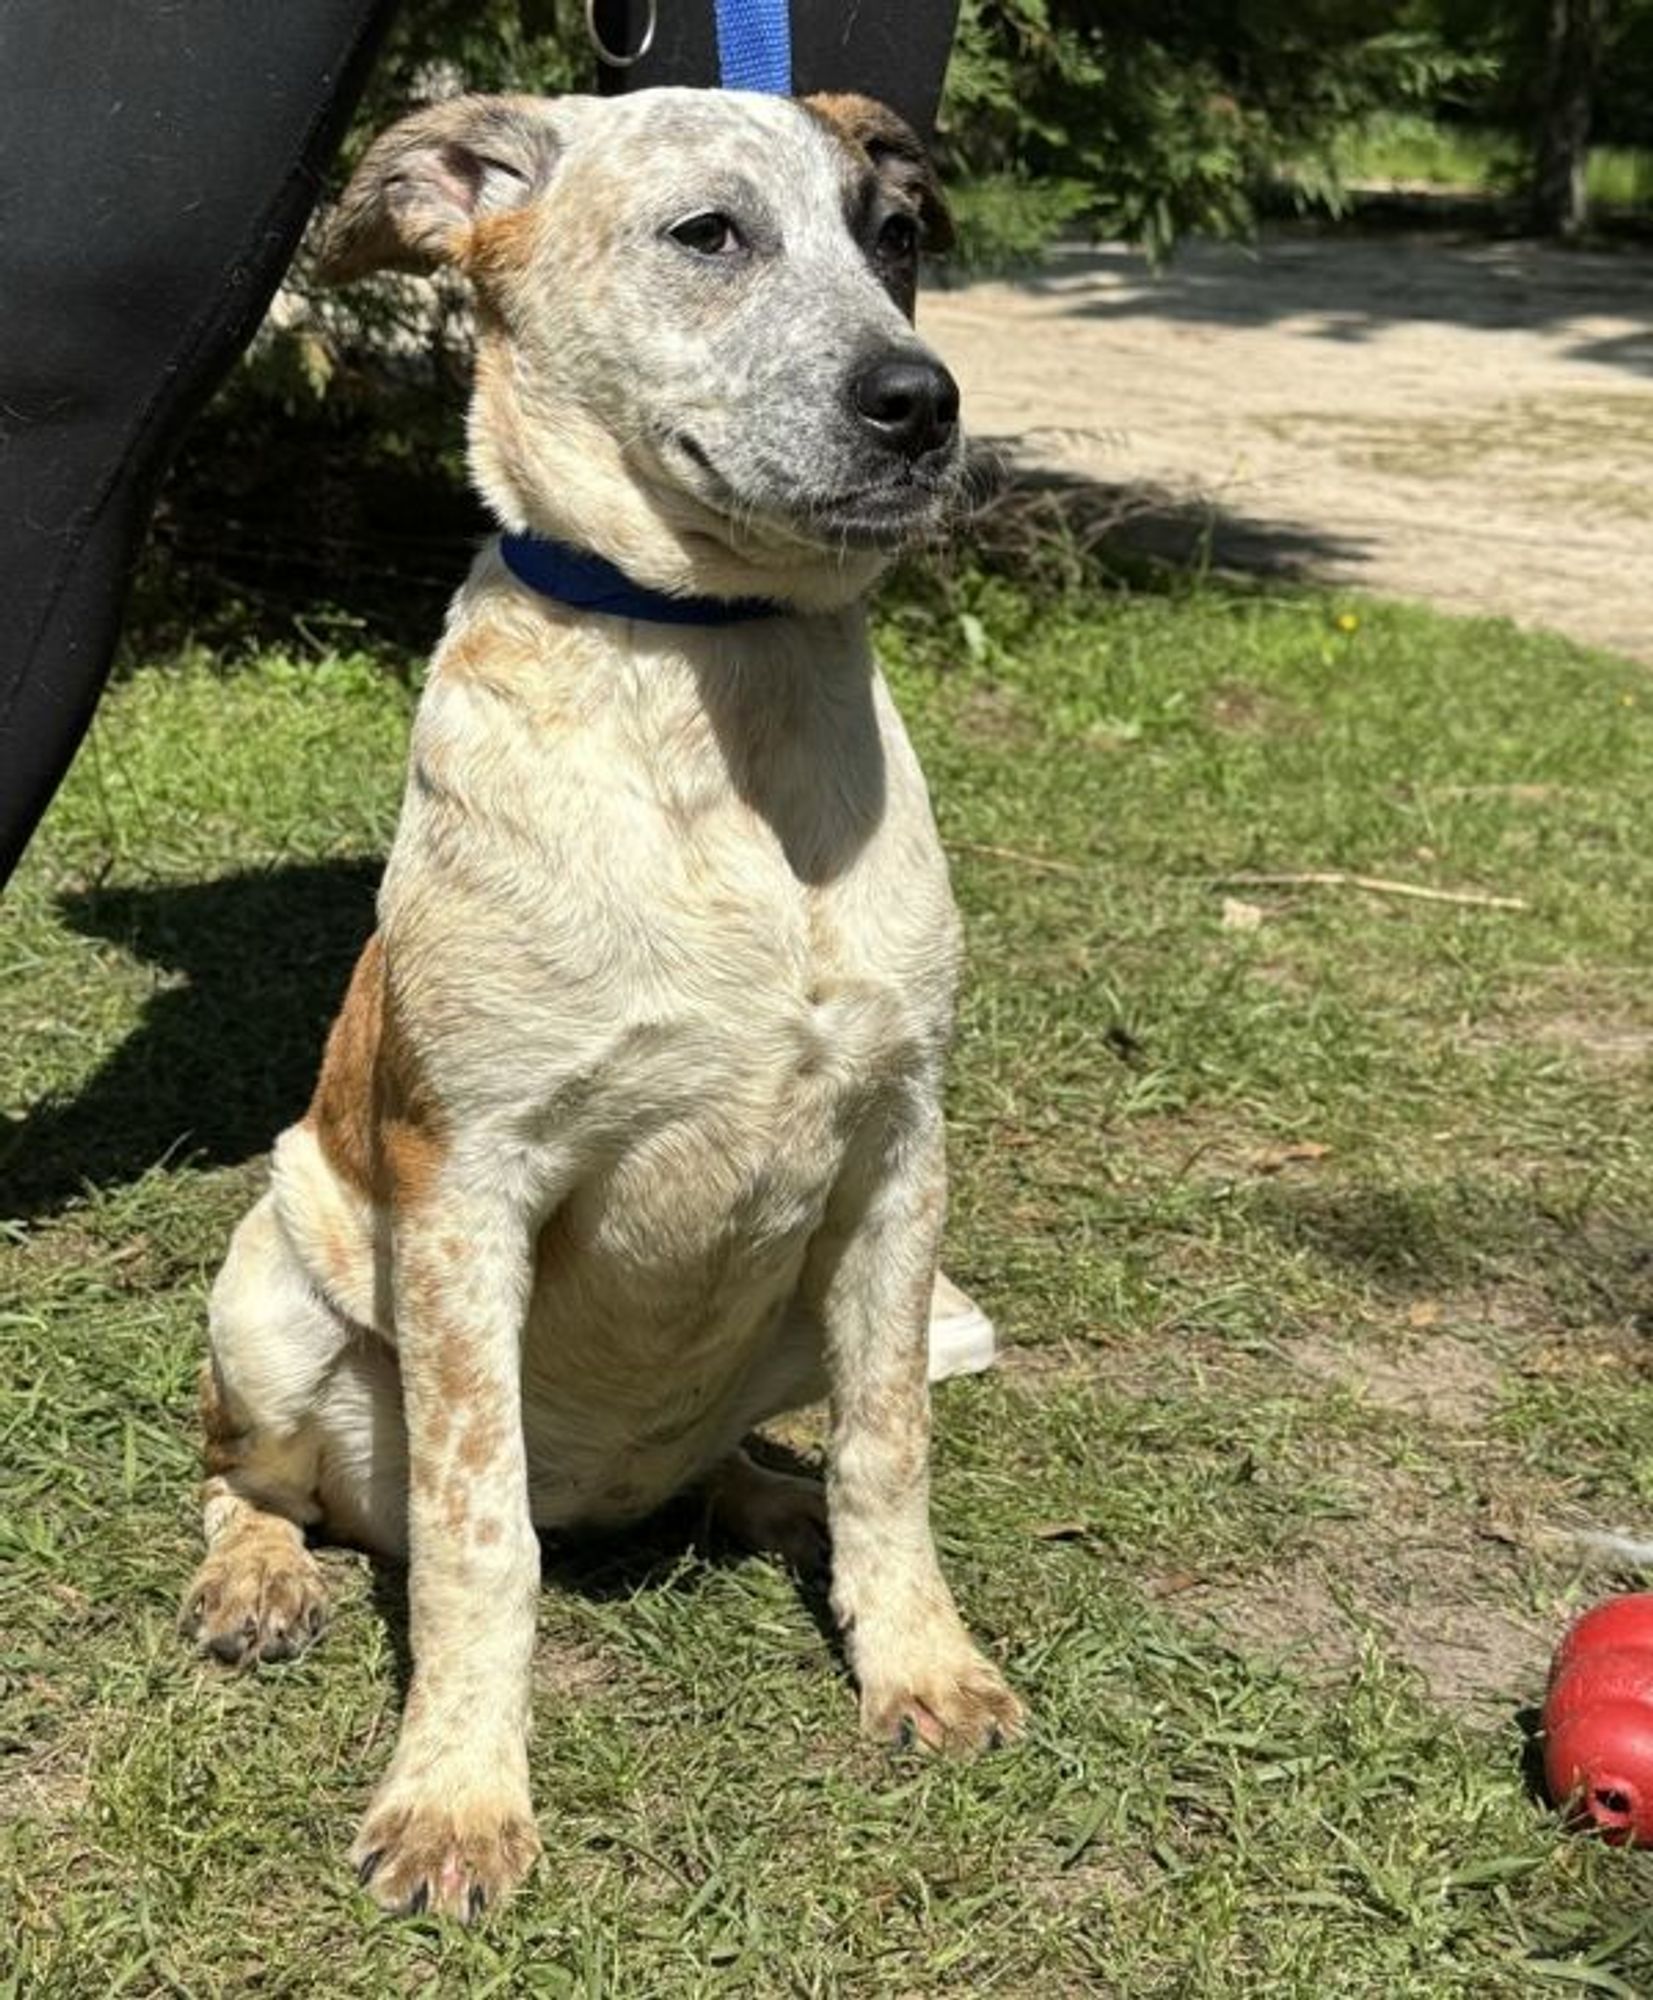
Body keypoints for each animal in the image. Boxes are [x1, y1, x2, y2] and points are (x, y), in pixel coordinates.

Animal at [180, 90, 1016, 1920]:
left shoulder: (901, 1151)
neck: (715, 692)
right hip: (269, 1301)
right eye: (709, 235)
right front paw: (456, 1799)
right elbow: (476, 1534)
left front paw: (917, 1663)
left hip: (813, 1303)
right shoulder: (461, 1191)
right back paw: (261, 1576)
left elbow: (891, 1448)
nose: (922, 403)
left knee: (749, 1452)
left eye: (891, 236)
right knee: (255, 1477)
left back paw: (764, 1501)